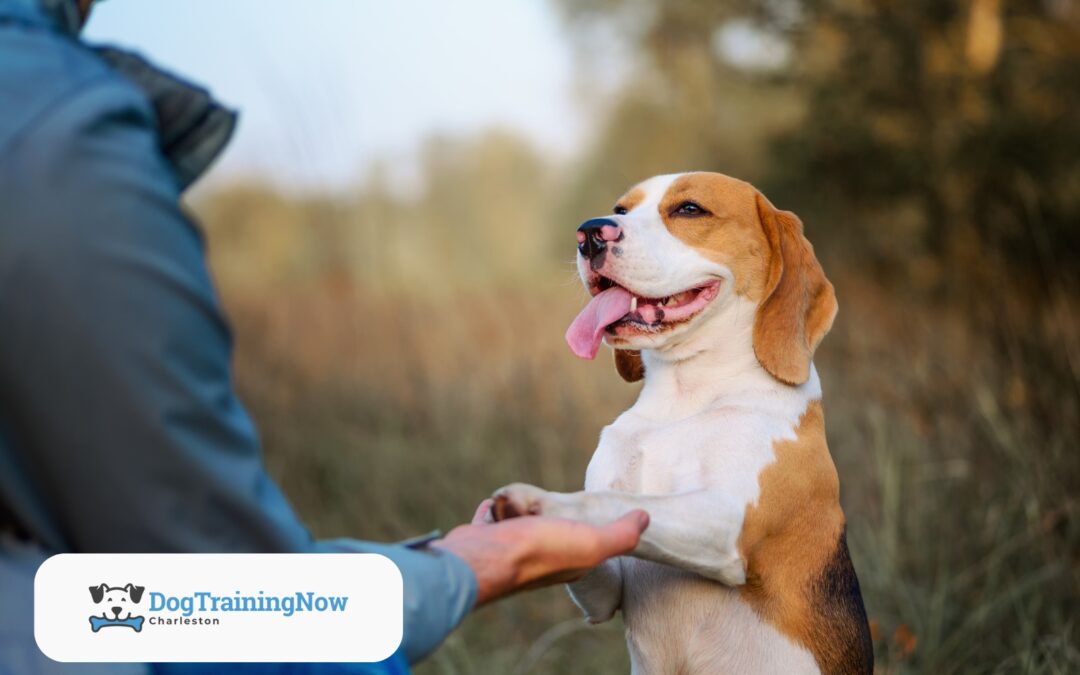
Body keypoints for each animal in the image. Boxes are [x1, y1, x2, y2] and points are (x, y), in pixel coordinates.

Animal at [494, 172, 872, 673]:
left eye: (690, 210)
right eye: (621, 209)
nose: (590, 233)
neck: (685, 397)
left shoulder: (726, 522)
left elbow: (612, 501)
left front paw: (539, 503)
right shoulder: (606, 592)